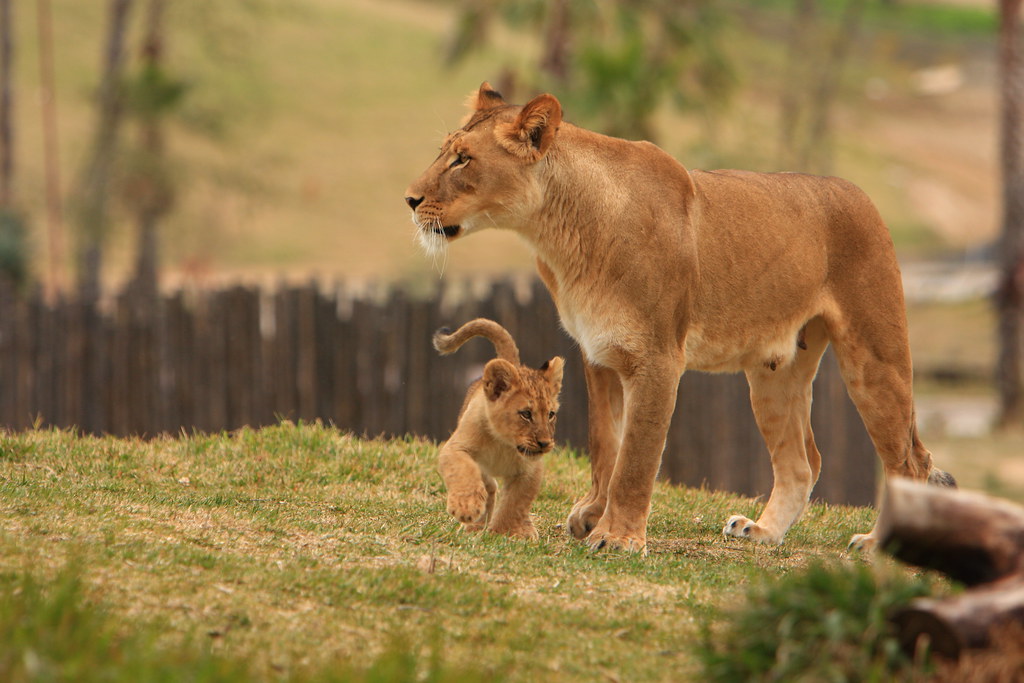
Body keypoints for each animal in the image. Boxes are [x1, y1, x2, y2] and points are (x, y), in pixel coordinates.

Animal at [433, 318, 564, 539]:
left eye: (551, 414)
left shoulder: (531, 470)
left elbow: (516, 502)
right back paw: (475, 524)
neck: (504, 443)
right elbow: (463, 471)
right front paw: (466, 507)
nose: (545, 443)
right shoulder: (455, 448)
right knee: (489, 485)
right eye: (526, 414)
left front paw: (505, 532)